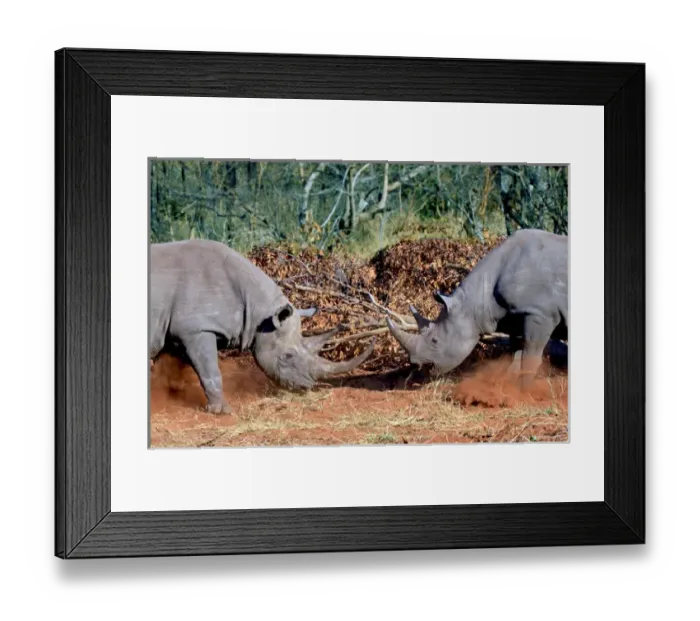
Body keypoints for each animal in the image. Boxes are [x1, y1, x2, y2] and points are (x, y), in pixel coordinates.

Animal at [150, 239, 375, 413]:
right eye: (287, 356)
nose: (307, 387)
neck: (260, 312)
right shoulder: (197, 328)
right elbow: (210, 370)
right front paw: (221, 411)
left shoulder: (179, 329)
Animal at [386, 229, 567, 383]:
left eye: (435, 340)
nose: (414, 363)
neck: (474, 302)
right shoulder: (515, 316)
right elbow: (514, 355)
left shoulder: (540, 313)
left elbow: (530, 358)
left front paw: (524, 393)